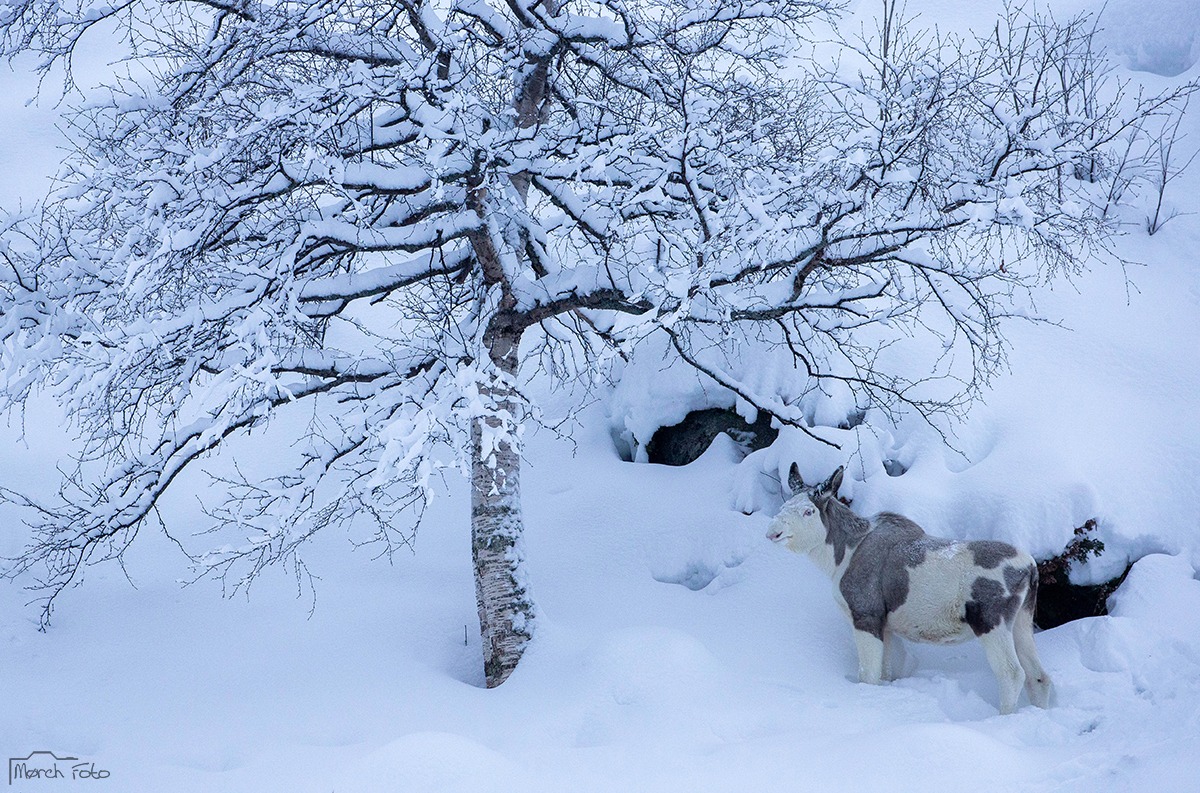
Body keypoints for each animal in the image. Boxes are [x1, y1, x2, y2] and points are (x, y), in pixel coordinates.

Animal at [768, 460, 1051, 715]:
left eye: (808, 511)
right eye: (784, 506)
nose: (773, 531)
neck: (837, 558)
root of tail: (1030, 569)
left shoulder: (866, 614)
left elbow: (868, 674)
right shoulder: (885, 624)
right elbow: (884, 673)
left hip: (991, 620)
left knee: (1012, 673)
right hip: (1022, 619)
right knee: (1038, 675)